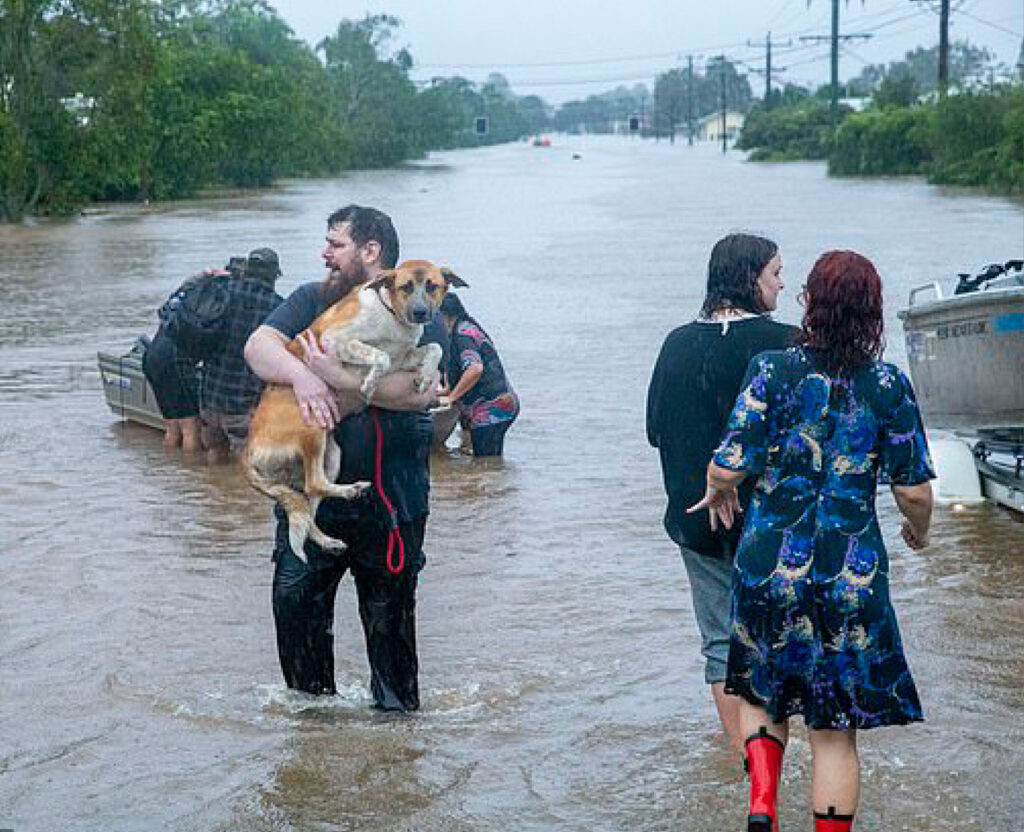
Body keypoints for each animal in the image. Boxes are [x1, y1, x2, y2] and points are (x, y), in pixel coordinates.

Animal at [243, 260, 468, 557]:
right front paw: (370, 384)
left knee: (310, 502)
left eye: (432, 286)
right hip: (312, 427)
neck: (392, 316)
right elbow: (380, 356)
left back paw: (331, 532)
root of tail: (247, 452)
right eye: (406, 287)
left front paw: (426, 376)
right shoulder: (337, 339)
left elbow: (434, 347)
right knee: (313, 485)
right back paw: (349, 494)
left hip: (333, 453)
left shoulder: (404, 357)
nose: (420, 313)